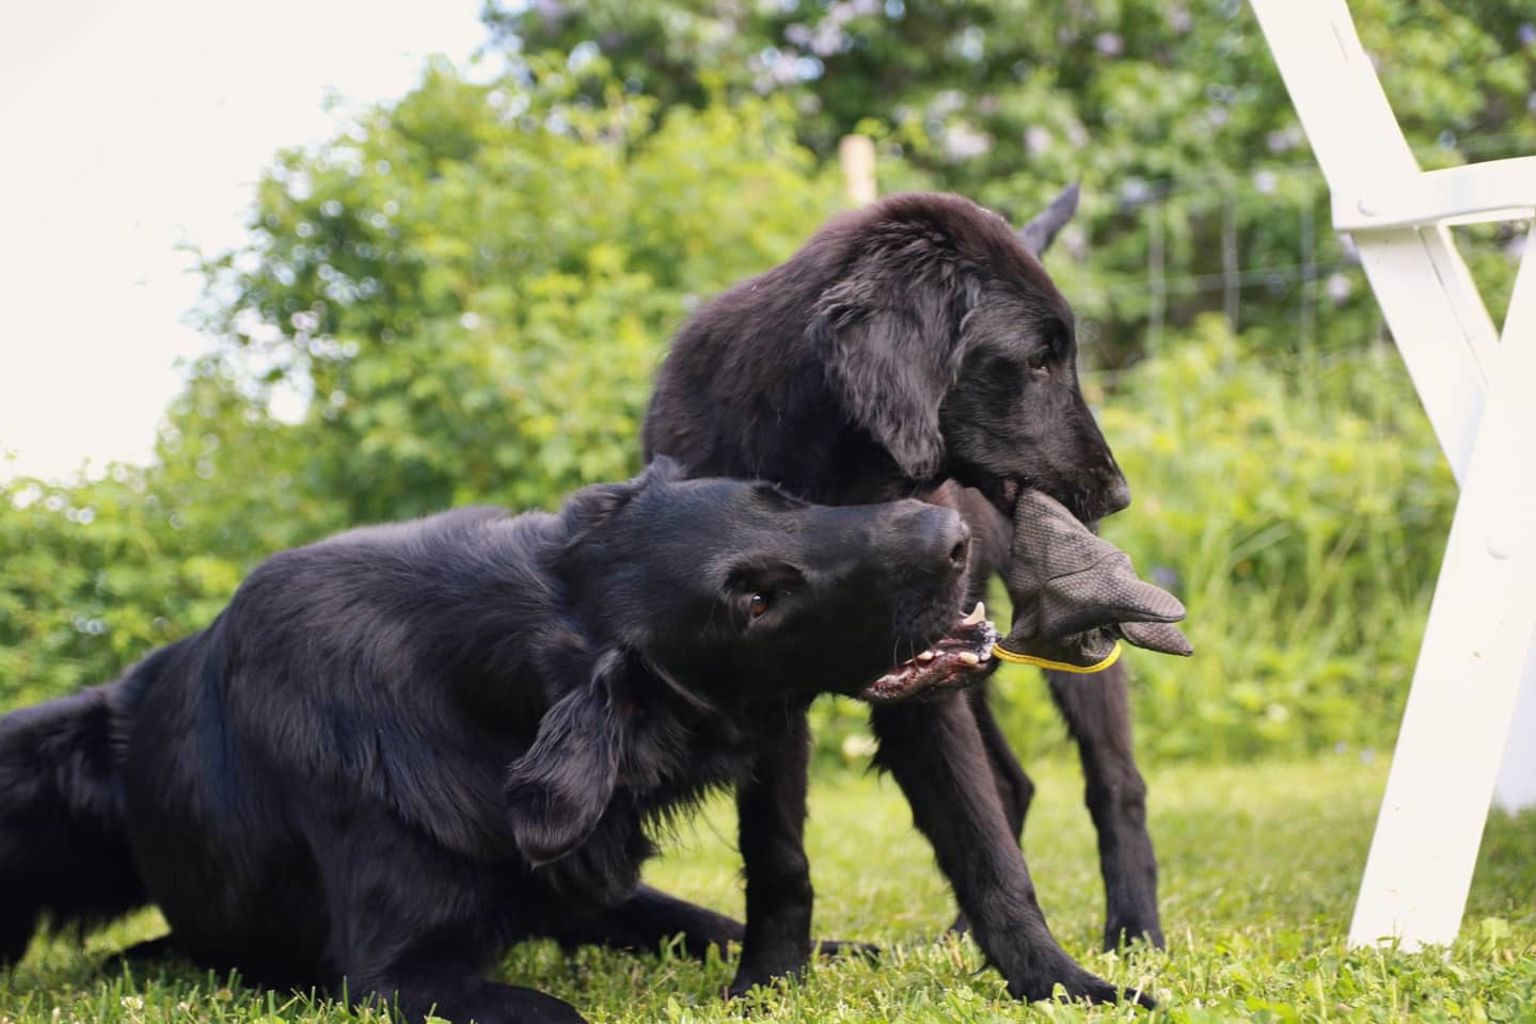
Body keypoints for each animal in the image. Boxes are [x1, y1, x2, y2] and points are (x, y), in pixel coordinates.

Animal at [0, 463, 995, 1024]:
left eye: (784, 498)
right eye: (754, 601)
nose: (957, 535)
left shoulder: (582, 888)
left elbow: (706, 923)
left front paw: (848, 954)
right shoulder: (395, 975)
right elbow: (559, 1014)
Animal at [642, 188, 1155, 1007]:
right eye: (1037, 361)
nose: (1118, 495)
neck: (823, 477)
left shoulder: (925, 686)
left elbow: (985, 849)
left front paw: (1056, 980)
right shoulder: (766, 690)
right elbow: (776, 852)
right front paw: (767, 977)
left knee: (1114, 784)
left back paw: (1135, 933)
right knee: (1013, 784)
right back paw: (958, 941)